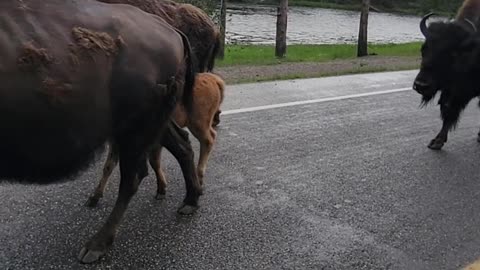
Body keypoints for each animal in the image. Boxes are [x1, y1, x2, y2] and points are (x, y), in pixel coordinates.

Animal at [0, 0, 201, 264]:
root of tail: (172, 32)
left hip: (136, 128)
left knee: (133, 177)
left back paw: (96, 245)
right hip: (153, 122)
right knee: (182, 146)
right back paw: (190, 201)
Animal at [410, 1, 480, 151]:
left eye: (452, 53)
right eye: (423, 49)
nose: (421, 85)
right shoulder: (453, 90)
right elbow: (447, 110)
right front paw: (436, 141)